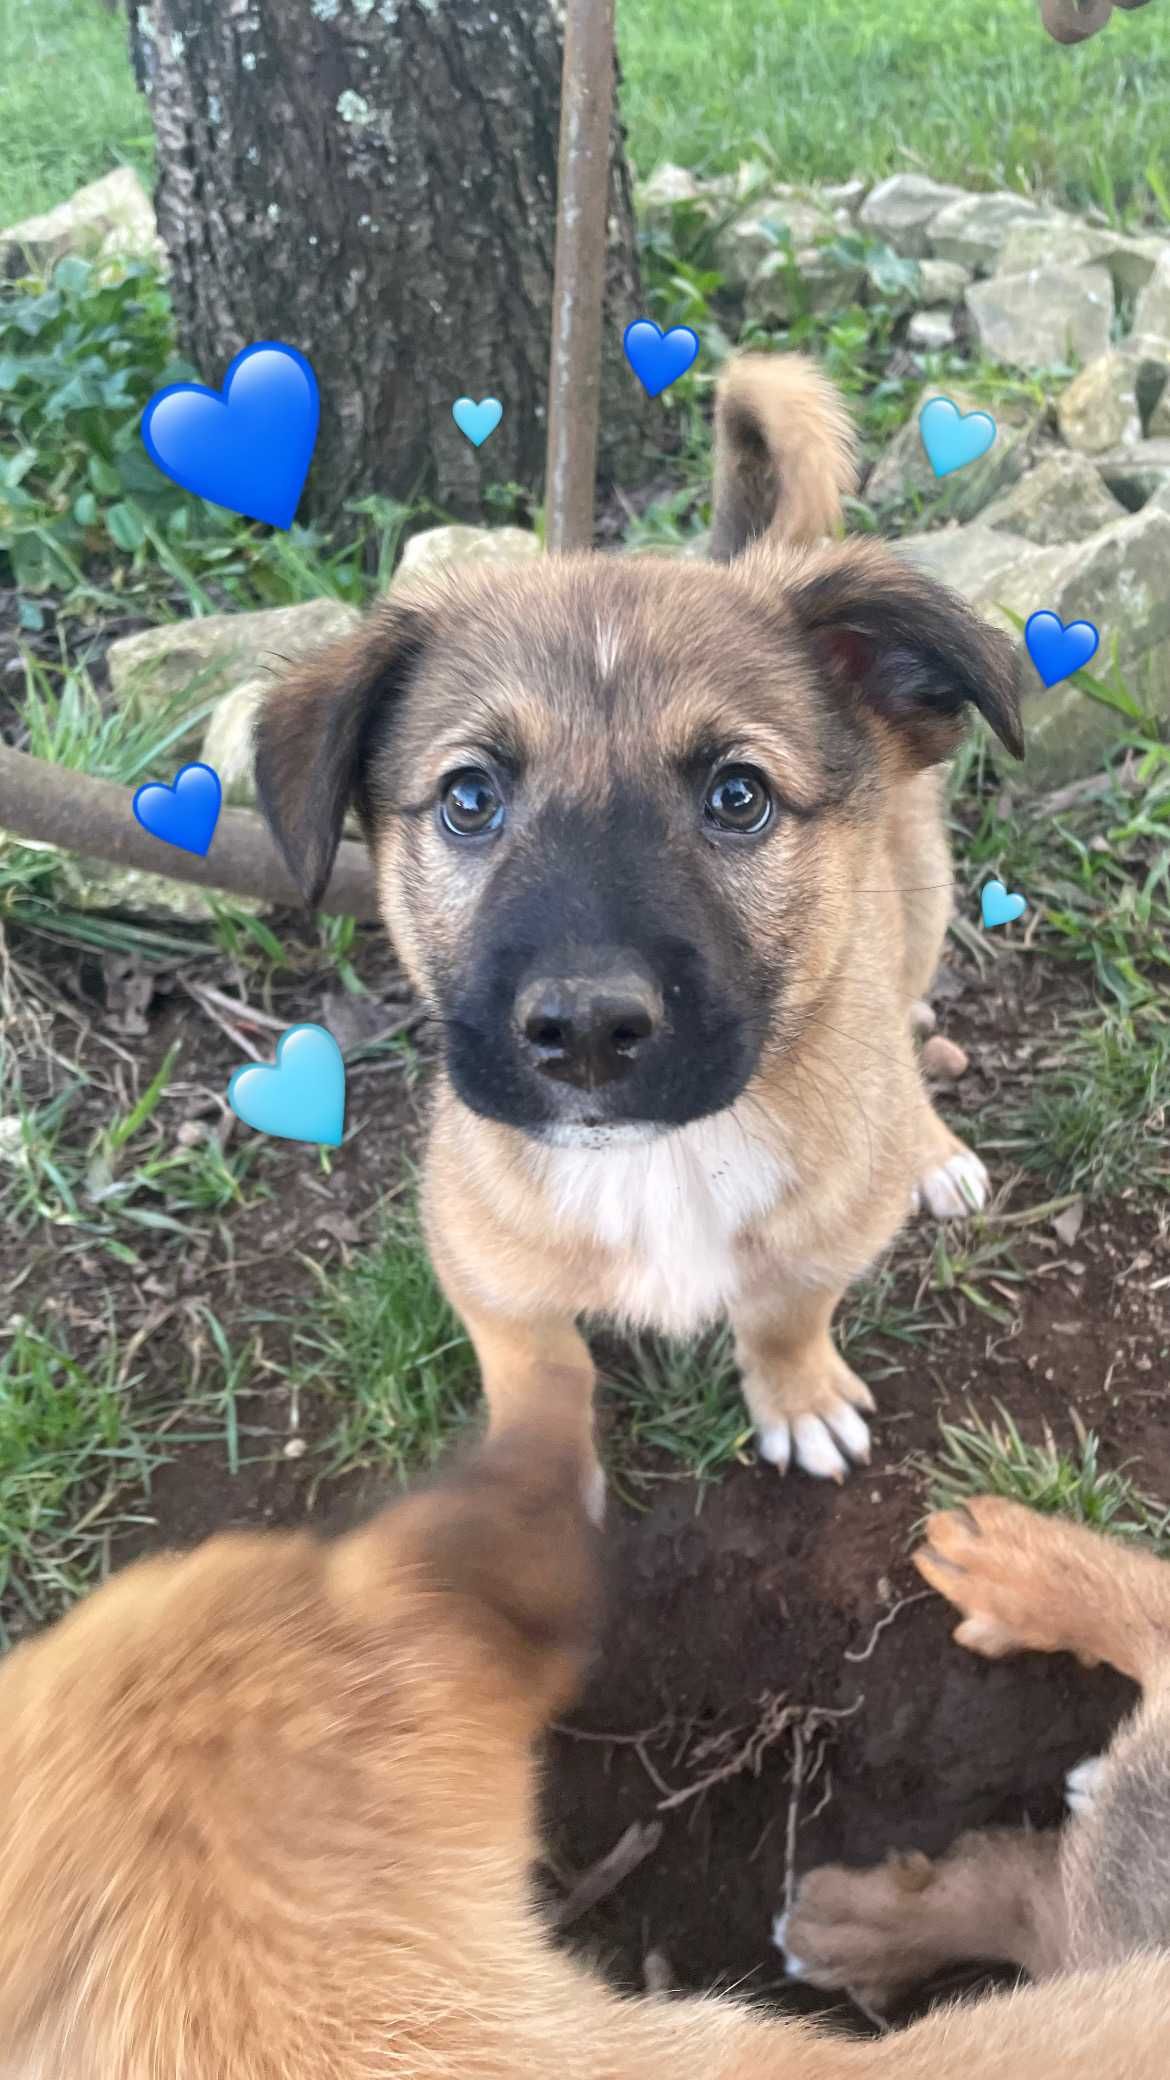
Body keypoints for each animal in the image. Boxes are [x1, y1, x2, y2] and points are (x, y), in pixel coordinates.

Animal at [257, 357, 1020, 1497]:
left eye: (739, 797)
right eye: (469, 799)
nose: (584, 1031)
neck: (662, 1162)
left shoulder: (819, 1241)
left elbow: (786, 1311)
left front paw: (798, 1394)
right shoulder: (486, 1272)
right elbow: (542, 1369)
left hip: (921, 902)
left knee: (897, 1013)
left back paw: (925, 1144)